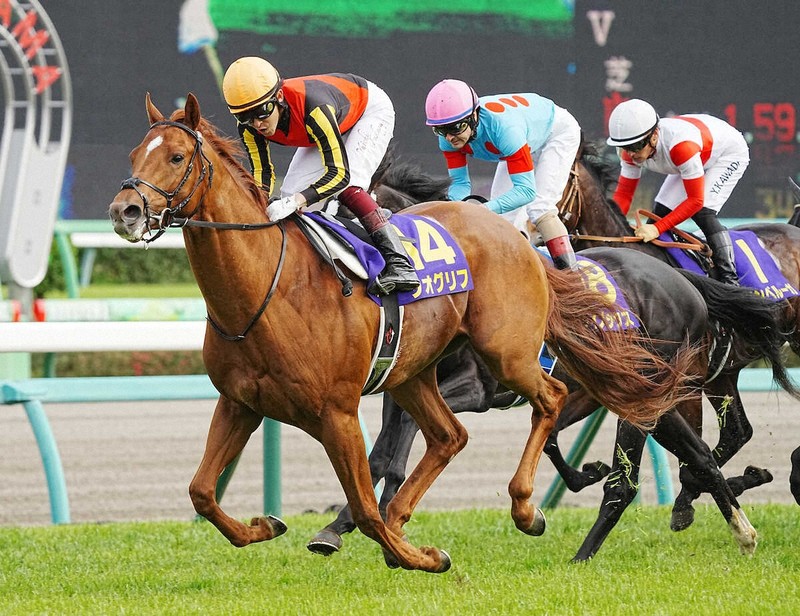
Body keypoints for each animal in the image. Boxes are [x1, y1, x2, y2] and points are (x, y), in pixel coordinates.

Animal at [107, 93, 697, 573]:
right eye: (134, 156)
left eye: (176, 157)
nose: (125, 210)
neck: (266, 289)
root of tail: (517, 238)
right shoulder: (240, 402)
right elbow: (201, 492)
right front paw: (265, 525)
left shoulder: (337, 411)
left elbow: (367, 499)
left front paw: (409, 554)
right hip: (413, 374)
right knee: (449, 436)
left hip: (507, 355)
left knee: (548, 400)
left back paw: (526, 508)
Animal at [307, 156, 792, 561]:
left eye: (348, 215)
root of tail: (682, 278)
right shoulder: (401, 382)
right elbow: (384, 450)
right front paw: (349, 524)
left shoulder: (476, 389)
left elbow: (403, 441)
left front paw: (368, 521)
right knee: (703, 450)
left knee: (649, 470)